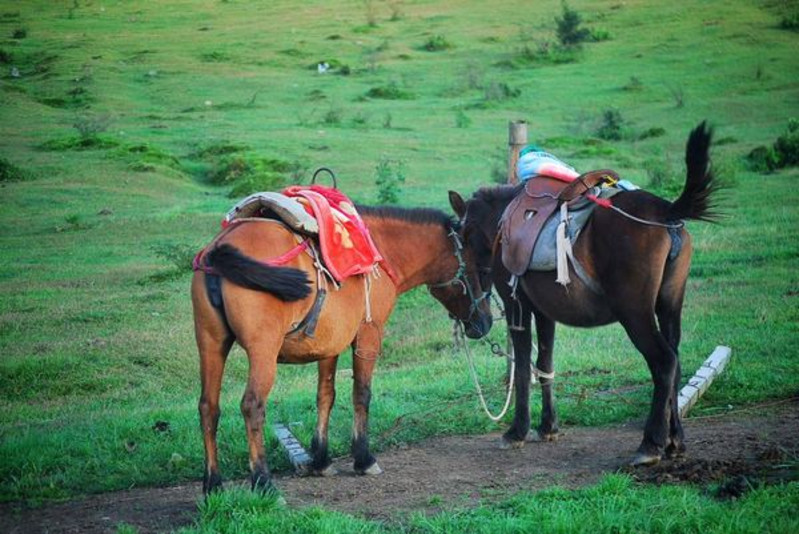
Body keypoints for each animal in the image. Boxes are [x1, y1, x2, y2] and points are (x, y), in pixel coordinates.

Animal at [192, 203, 494, 496]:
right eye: (480, 270)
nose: (486, 322)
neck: (380, 252)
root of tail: (220, 248)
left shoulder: (329, 344)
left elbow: (325, 395)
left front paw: (321, 460)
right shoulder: (369, 333)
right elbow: (361, 393)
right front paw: (363, 458)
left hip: (210, 344)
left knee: (208, 407)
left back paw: (213, 484)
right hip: (262, 351)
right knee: (252, 405)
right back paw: (263, 482)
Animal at [454, 123, 720, 466]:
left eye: (459, 243)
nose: (474, 326)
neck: (499, 222)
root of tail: (666, 211)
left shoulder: (517, 305)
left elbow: (524, 366)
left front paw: (517, 431)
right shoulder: (544, 310)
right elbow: (545, 363)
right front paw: (548, 427)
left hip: (635, 312)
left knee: (663, 362)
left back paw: (651, 443)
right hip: (670, 304)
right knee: (675, 361)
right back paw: (675, 440)